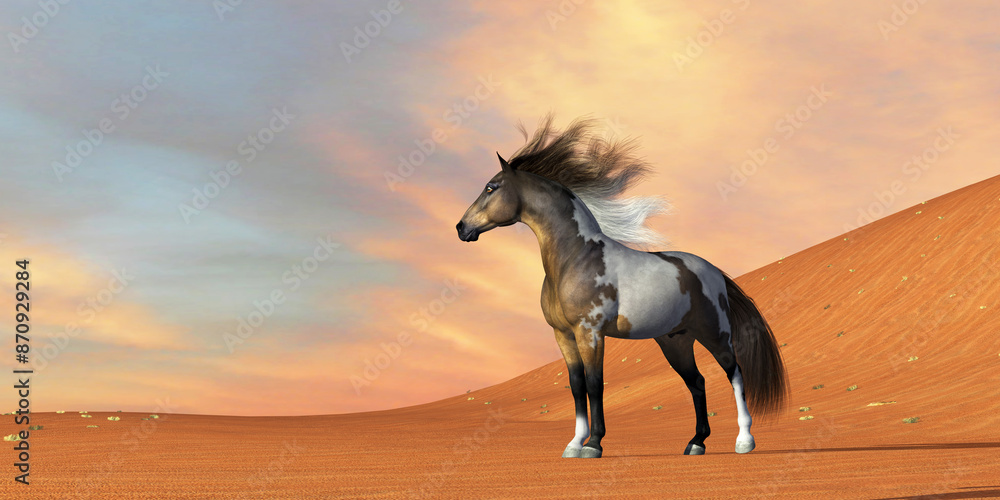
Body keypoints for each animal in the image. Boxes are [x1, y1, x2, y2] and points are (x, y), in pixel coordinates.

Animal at [455, 116, 788, 458]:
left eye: (491, 187)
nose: (461, 228)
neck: (576, 257)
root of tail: (715, 272)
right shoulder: (563, 335)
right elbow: (576, 386)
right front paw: (573, 444)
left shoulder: (590, 333)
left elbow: (594, 384)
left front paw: (593, 444)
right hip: (676, 341)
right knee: (697, 382)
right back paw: (696, 442)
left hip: (715, 334)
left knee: (734, 374)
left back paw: (744, 441)